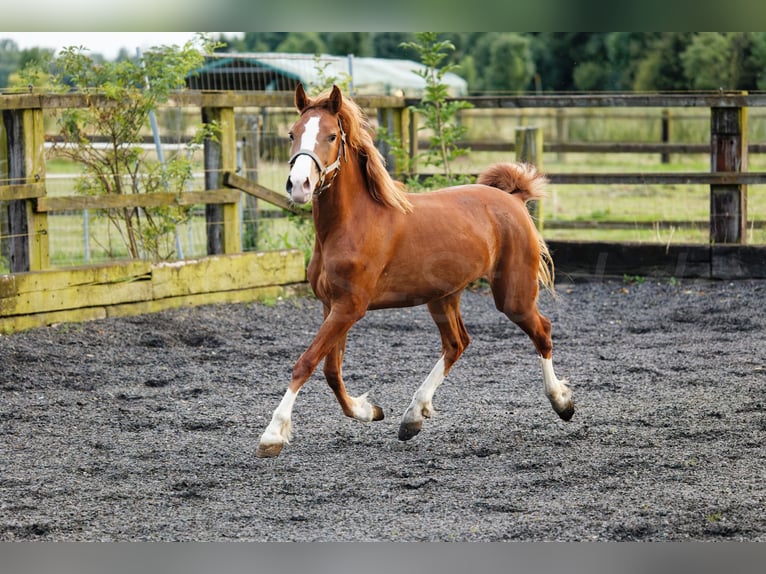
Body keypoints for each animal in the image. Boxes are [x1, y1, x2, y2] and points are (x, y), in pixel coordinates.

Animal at [255, 84, 572, 460]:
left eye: (331, 135)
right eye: (292, 133)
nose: (299, 185)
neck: (349, 225)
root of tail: (514, 199)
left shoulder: (350, 307)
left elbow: (306, 362)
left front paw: (273, 434)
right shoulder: (331, 305)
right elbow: (331, 370)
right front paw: (368, 410)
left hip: (513, 296)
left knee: (542, 332)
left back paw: (562, 402)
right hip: (444, 296)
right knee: (457, 344)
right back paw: (412, 417)